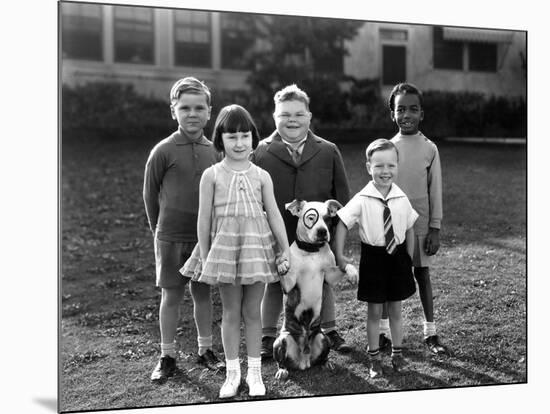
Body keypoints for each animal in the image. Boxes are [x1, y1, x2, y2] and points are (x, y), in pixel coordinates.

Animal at [274, 199, 360, 380]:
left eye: (328, 218)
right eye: (311, 217)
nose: (322, 231)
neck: (311, 251)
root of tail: (304, 361)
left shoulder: (329, 275)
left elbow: (343, 266)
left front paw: (352, 272)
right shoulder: (288, 285)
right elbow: (284, 270)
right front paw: (282, 264)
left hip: (322, 337)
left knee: (322, 356)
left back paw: (327, 363)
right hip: (281, 340)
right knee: (281, 360)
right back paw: (282, 370)